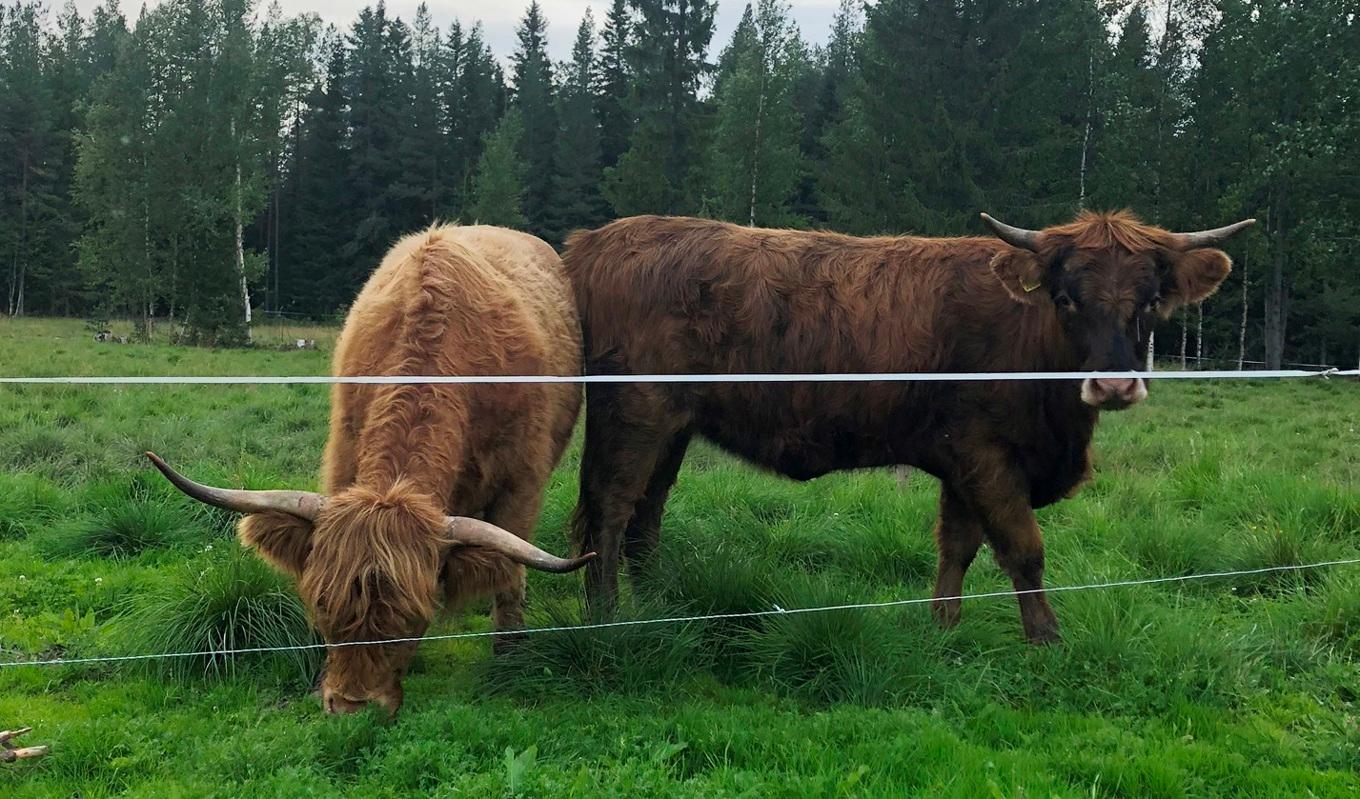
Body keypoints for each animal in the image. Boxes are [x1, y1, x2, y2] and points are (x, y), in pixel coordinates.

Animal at [151, 226, 592, 717]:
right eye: (320, 604)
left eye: (413, 619)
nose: (351, 706)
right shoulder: (343, 458)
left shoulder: (522, 483)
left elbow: (509, 574)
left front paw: (511, 652)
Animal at [563, 211, 1251, 644]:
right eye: (1066, 299)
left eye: (1150, 302)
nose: (1113, 386)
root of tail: (599, 240)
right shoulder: (988, 456)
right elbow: (1024, 549)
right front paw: (1047, 640)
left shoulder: (963, 460)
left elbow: (958, 546)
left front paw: (942, 629)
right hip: (637, 411)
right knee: (611, 508)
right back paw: (608, 618)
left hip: (676, 423)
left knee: (647, 511)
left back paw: (656, 603)